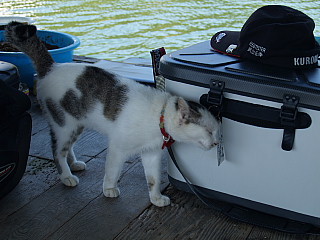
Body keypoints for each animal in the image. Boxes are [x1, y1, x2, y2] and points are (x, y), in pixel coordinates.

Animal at [5, 21, 220, 207]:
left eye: (217, 131)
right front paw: (109, 188)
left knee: (67, 148)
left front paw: (156, 198)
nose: (217, 143)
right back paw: (66, 176)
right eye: (209, 131)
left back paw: (74, 164)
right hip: (63, 124)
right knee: (58, 151)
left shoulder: (150, 154)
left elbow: (153, 179)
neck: (158, 118)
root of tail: (52, 66)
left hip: (76, 125)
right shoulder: (118, 147)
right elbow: (112, 170)